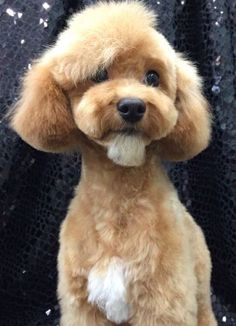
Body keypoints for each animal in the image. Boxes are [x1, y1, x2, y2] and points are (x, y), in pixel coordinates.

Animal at [9, 1, 218, 324]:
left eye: (152, 77)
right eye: (98, 74)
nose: (132, 105)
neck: (118, 200)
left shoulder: (164, 301)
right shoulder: (83, 305)